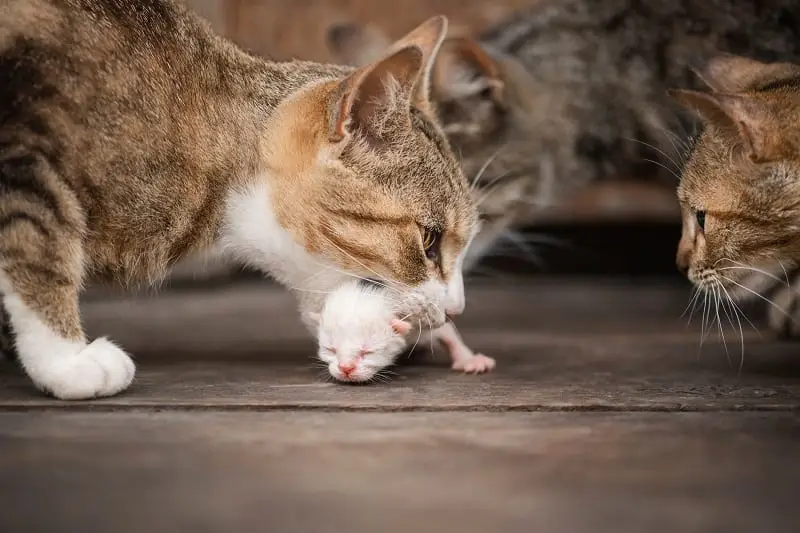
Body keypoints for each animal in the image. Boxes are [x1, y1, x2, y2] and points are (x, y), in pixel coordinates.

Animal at [310, 280, 494, 380]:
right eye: (330, 349)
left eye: (368, 352)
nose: (346, 369)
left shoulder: (419, 320)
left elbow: (446, 332)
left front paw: (469, 360)